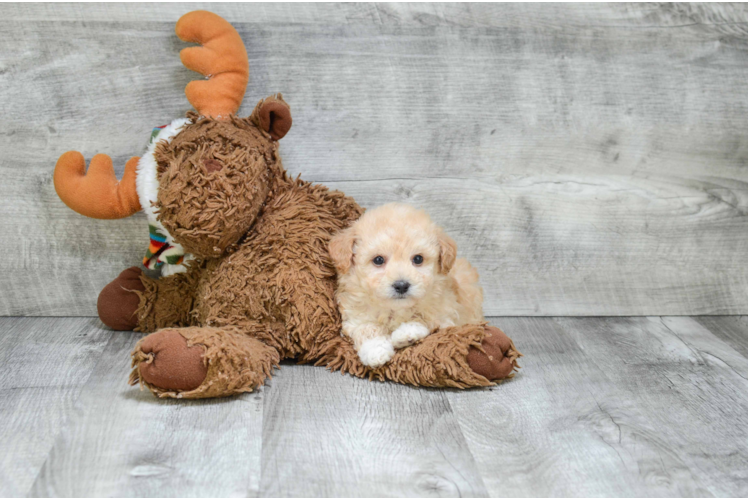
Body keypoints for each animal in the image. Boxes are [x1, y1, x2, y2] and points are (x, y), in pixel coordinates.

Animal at [328, 202, 482, 368]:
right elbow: (366, 327)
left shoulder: (447, 315)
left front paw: (406, 333)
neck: (395, 309)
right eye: (378, 260)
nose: (401, 285)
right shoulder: (354, 317)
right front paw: (375, 349)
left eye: (418, 259)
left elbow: (426, 319)